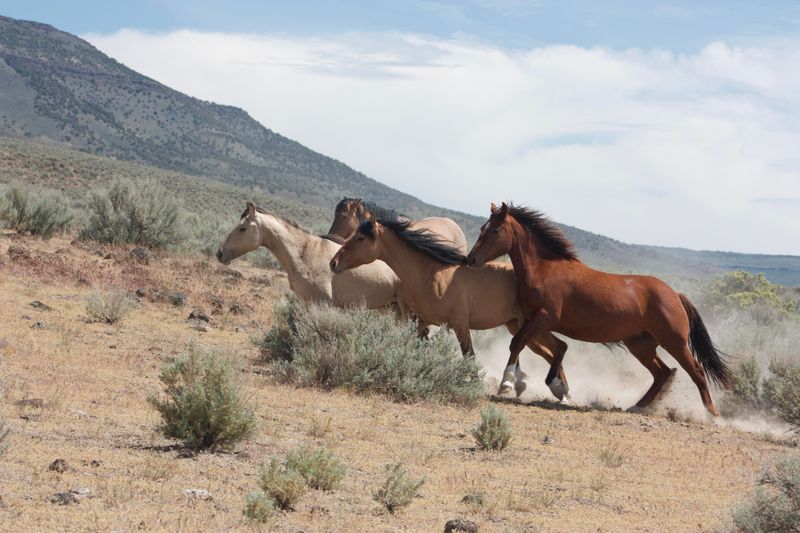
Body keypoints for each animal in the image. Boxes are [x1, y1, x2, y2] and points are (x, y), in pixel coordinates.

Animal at [330, 217, 576, 400]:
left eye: (360, 237)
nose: (333, 263)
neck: (431, 273)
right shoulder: (421, 322)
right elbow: (415, 347)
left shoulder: (459, 325)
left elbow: (469, 356)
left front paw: (472, 384)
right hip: (519, 327)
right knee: (555, 349)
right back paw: (554, 391)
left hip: (534, 327)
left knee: (556, 349)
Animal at [466, 204, 736, 416]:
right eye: (481, 229)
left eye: (495, 230)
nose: (471, 260)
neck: (545, 270)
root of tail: (676, 295)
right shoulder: (532, 321)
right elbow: (550, 348)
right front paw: (554, 387)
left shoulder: (543, 318)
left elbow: (521, 344)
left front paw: (507, 383)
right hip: (640, 344)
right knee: (662, 373)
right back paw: (638, 407)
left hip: (674, 342)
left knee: (696, 372)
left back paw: (711, 415)